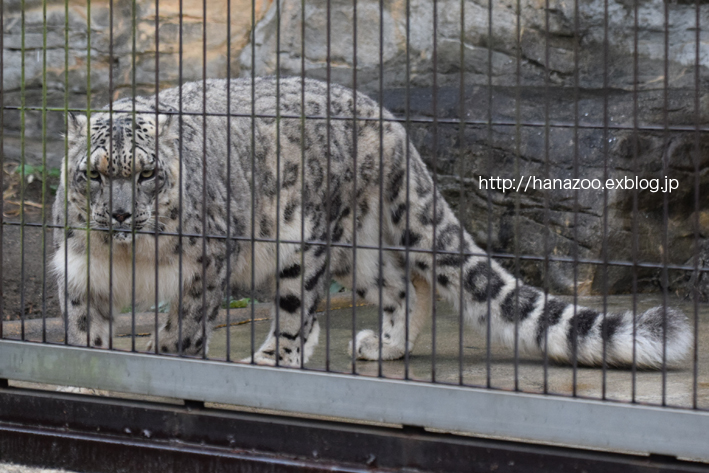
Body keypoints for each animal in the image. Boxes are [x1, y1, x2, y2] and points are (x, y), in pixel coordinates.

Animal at [54, 76, 692, 368]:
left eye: (146, 173)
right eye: (94, 174)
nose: (119, 213)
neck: (128, 258)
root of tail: (386, 118)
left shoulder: (205, 263)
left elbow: (184, 325)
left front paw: (164, 356)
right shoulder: (81, 272)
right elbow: (87, 332)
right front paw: (94, 367)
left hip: (308, 239)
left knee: (302, 309)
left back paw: (275, 357)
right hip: (352, 250)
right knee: (399, 284)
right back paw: (384, 346)